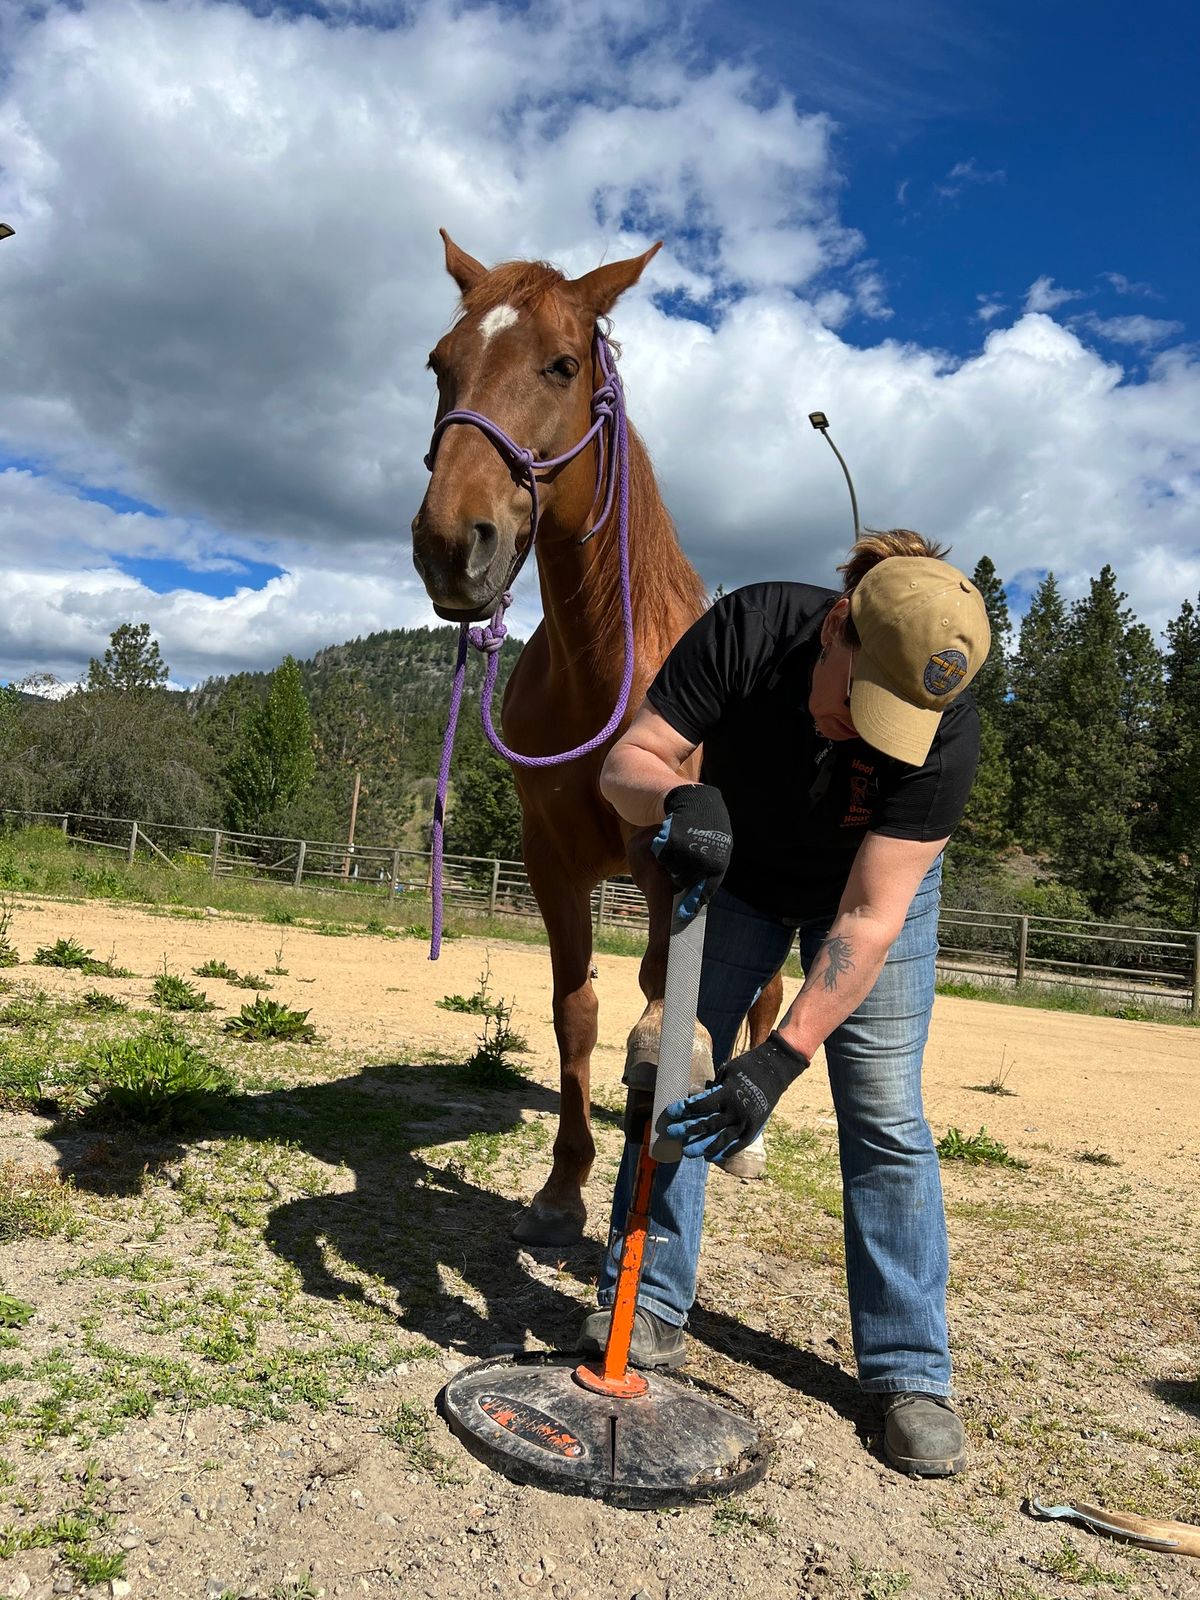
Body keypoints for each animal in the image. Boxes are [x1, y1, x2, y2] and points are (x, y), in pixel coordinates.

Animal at [409, 232, 784, 1241]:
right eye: (439, 364)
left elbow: (661, 1009)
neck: (609, 675)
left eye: (563, 365)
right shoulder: (552, 860)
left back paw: (747, 1145)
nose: (450, 543)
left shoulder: (665, 864)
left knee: (764, 1002)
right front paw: (561, 1188)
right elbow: (577, 1009)